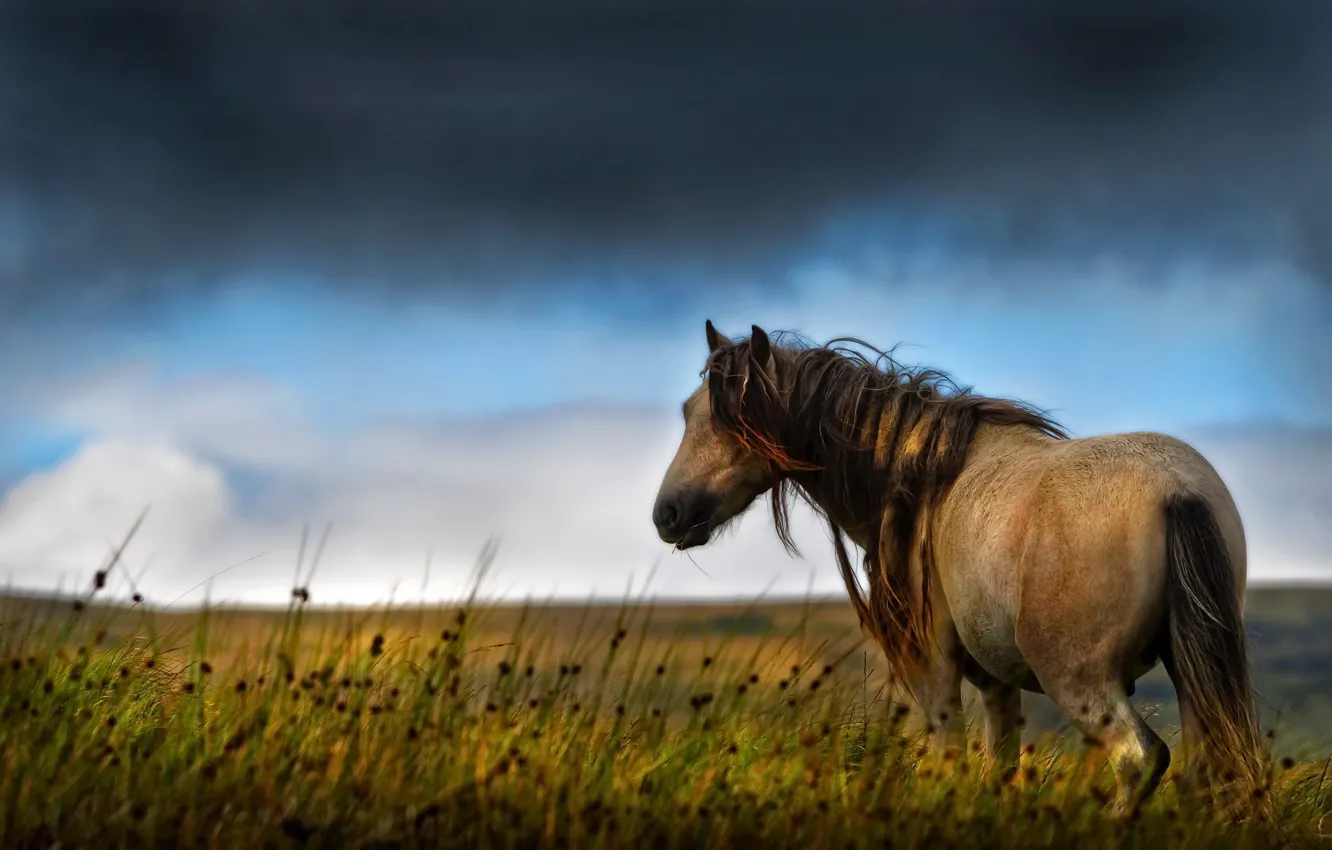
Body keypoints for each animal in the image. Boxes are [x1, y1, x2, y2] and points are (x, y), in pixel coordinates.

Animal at [651, 320, 1267, 817]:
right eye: (686, 413)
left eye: (735, 423)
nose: (667, 514)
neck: (922, 479)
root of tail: (1175, 489)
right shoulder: (998, 682)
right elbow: (999, 771)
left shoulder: (935, 669)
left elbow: (949, 760)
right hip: (1190, 674)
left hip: (1080, 679)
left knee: (1140, 760)